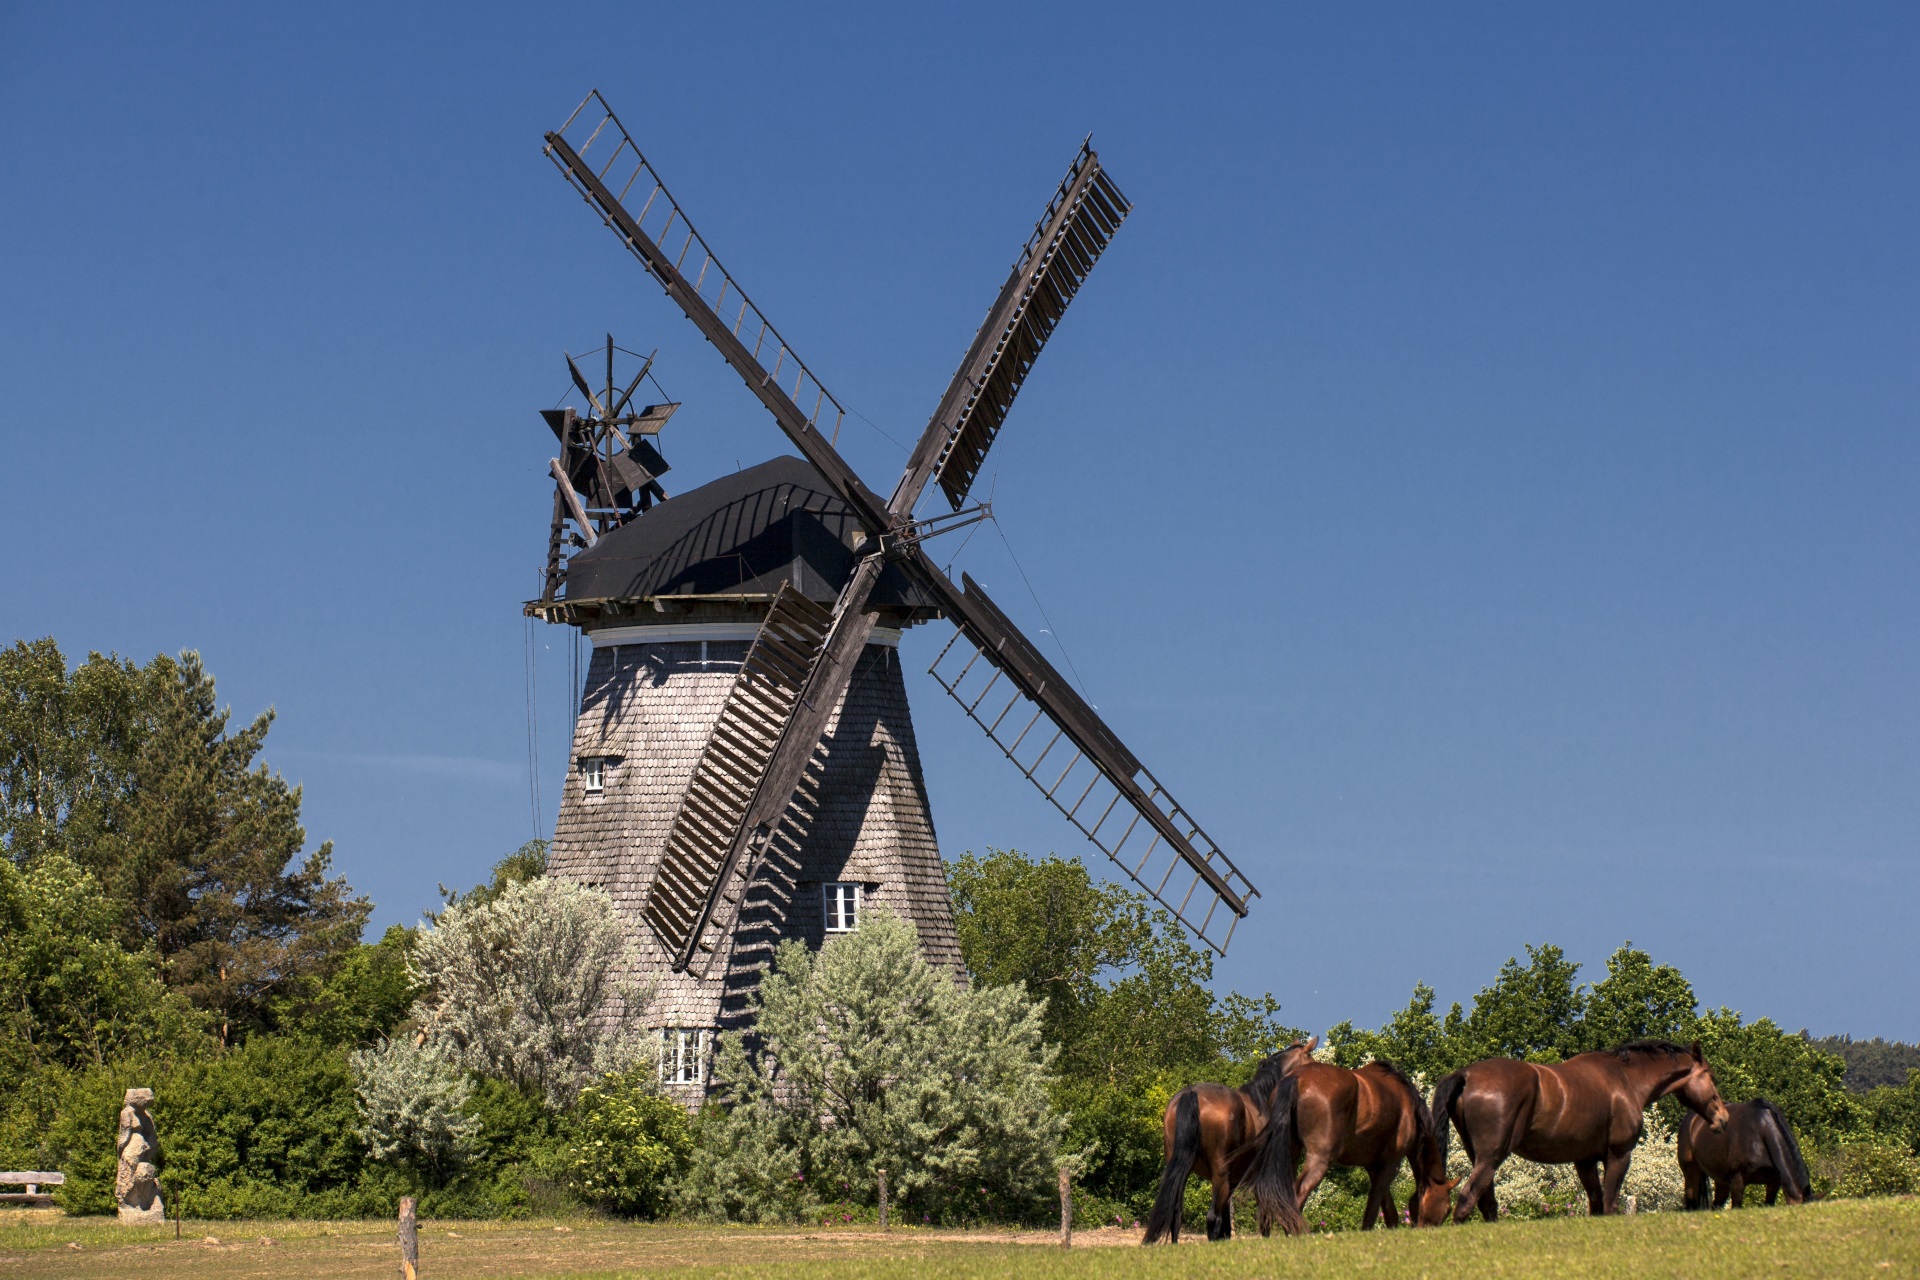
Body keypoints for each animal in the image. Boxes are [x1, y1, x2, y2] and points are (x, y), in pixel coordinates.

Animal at [1136, 1043, 1320, 1243]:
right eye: (1311, 1062)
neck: (1261, 1101)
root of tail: (1191, 1094)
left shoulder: (1232, 1182)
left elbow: (1227, 1226)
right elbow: (1264, 1219)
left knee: (1176, 1214)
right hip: (1220, 1175)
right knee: (1211, 1218)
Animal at [1259, 1059, 1451, 1235]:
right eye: (1448, 1208)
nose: (1428, 1229)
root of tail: (1297, 1078)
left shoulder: (1374, 1167)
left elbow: (1387, 1207)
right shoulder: (1391, 1164)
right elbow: (1375, 1205)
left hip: (1289, 1154)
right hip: (1319, 1159)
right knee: (1297, 1194)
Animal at [1436, 1043, 1735, 1220]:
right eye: (1711, 1076)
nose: (1723, 1118)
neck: (1625, 1080)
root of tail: (1466, 1075)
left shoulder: (1585, 1161)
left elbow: (1597, 1205)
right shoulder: (1618, 1155)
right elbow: (1611, 1204)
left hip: (1479, 1156)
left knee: (1485, 1202)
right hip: (1492, 1157)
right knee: (1467, 1198)